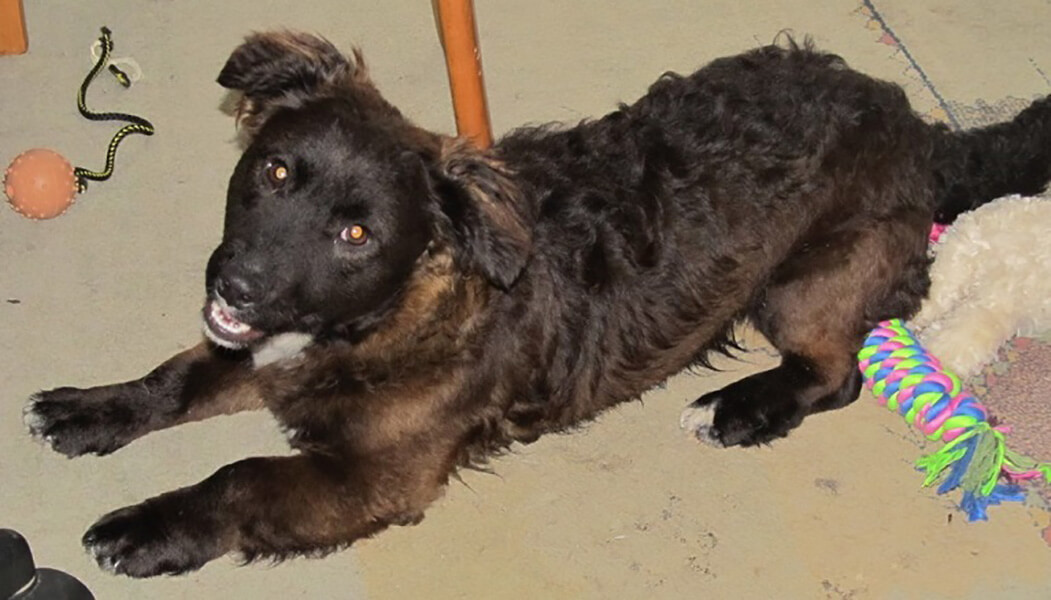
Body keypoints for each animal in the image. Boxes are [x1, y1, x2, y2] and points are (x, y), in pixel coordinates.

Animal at [22, 31, 1051, 577]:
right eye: (273, 172)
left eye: (356, 233)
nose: (235, 286)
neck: (399, 307)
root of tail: (922, 128)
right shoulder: (273, 352)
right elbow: (176, 378)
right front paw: (93, 409)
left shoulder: (376, 478)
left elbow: (237, 477)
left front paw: (148, 527)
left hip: (800, 290)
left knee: (835, 372)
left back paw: (740, 408)